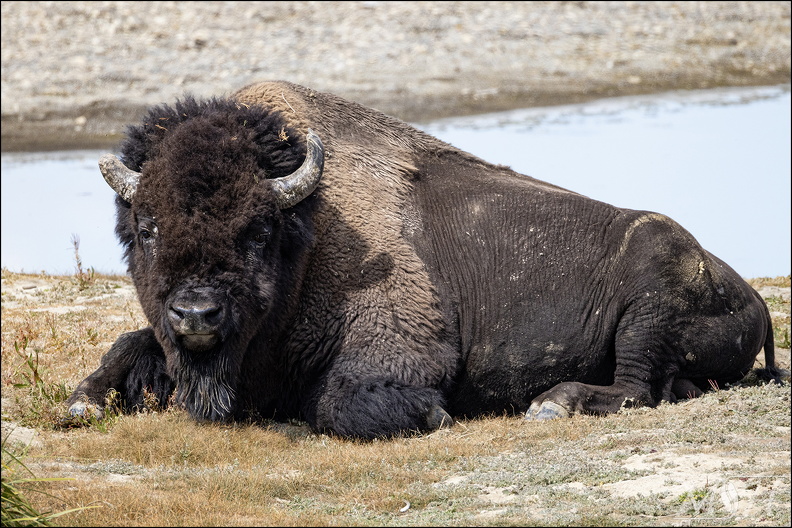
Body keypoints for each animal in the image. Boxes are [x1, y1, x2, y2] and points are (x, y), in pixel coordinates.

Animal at [67, 81, 782, 439]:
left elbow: (340, 404)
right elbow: (129, 344)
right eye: (147, 227)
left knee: (635, 387)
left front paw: (434, 415)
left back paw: (553, 404)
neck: (311, 231)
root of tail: (752, 297)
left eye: (258, 229)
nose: (195, 314)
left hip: (650, 291)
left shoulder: (395, 351)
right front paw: (82, 402)